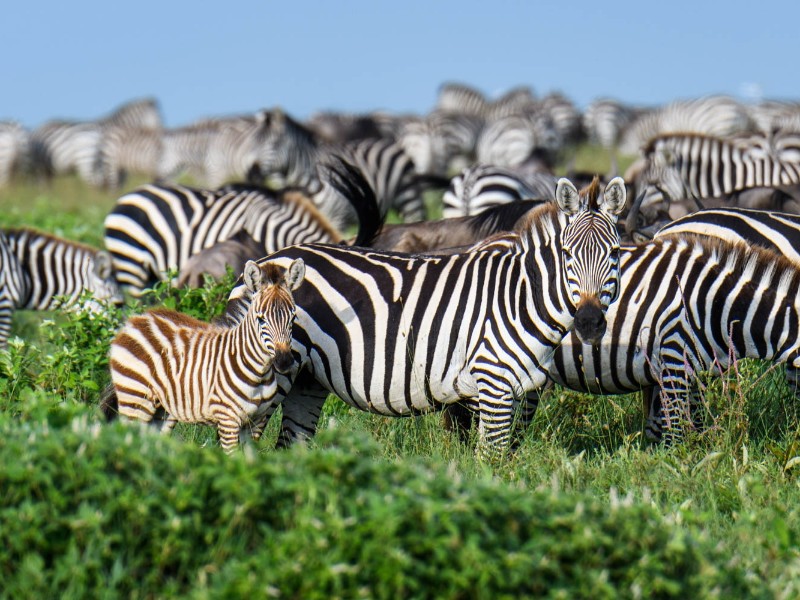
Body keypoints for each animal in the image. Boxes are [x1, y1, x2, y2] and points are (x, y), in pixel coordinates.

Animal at [105, 258, 304, 453]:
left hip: (162, 410)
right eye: (261, 319)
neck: (259, 371)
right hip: (135, 397)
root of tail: (135, 321)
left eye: (293, 318)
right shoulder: (228, 419)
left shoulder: (255, 421)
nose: (284, 361)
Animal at [219, 176, 627, 457]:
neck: (520, 295)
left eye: (615, 253)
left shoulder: (523, 391)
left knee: (289, 448)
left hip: (307, 380)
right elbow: (491, 460)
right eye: (568, 255)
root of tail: (264, 262)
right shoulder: (491, 381)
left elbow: (502, 456)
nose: (589, 322)